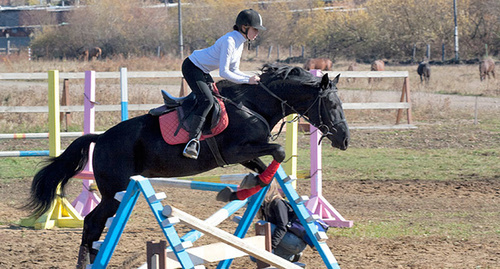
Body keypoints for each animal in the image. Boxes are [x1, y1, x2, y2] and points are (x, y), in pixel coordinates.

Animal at [24, 63, 352, 266]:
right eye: (331, 104)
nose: (345, 140)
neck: (254, 105)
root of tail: (101, 137)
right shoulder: (236, 150)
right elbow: (280, 151)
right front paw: (242, 189)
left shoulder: (245, 155)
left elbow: (265, 169)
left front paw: (240, 191)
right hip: (114, 192)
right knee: (92, 222)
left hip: (117, 192)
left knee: (95, 224)